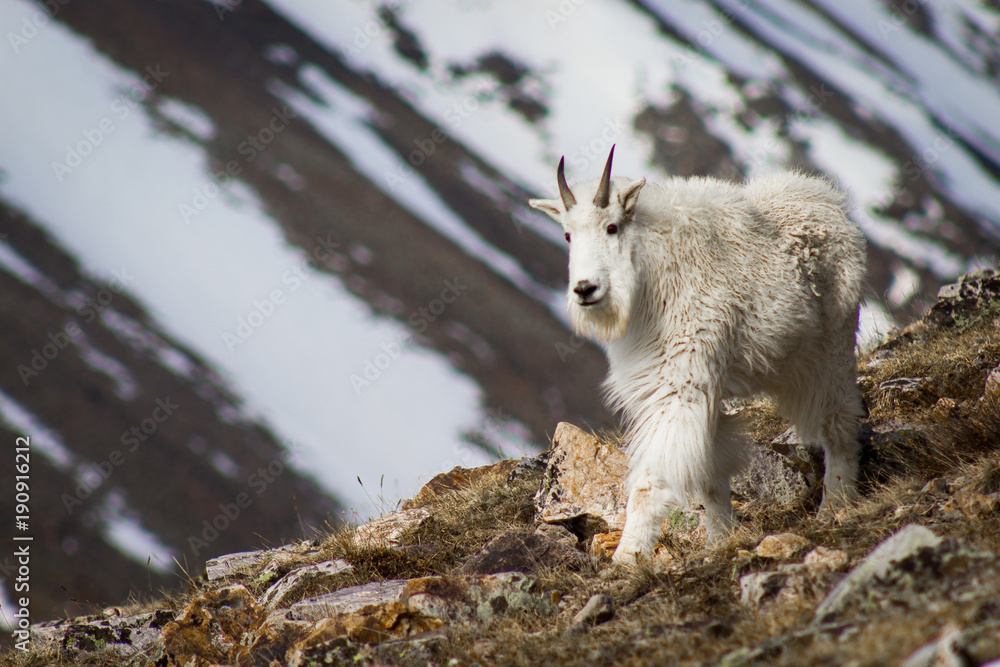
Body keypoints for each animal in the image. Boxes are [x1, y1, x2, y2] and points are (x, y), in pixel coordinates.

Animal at [530, 146, 866, 563]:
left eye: (612, 227)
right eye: (567, 234)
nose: (585, 289)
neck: (652, 278)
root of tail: (830, 200)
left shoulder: (680, 387)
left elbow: (652, 478)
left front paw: (627, 557)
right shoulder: (693, 389)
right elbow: (709, 471)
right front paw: (721, 540)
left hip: (831, 347)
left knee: (838, 422)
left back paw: (835, 504)